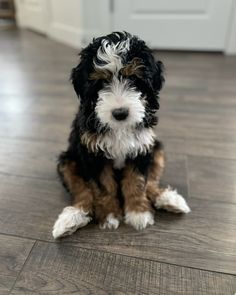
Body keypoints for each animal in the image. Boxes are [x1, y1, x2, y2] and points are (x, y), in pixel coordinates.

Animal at [51, 31, 190, 239]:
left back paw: (168, 199)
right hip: (68, 160)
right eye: (102, 82)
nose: (120, 113)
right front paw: (109, 215)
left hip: (157, 149)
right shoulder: (93, 154)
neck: (119, 127)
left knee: (151, 181)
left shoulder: (141, 148)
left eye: (133, 79)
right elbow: (103, 186)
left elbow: (138, 181)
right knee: (82, 190)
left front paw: (138, 213)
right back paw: (71, 219)